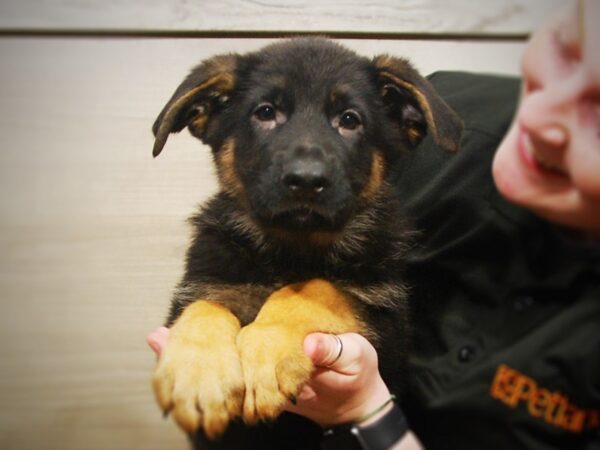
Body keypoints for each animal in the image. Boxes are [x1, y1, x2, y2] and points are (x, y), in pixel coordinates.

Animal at [152, 37, 462, 448]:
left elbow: (317, 289)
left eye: (349, 120)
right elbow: (205, 306)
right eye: (265, 112)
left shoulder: (387, 325)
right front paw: (198, 373)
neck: (291, 250)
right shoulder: (203, 285)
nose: (305, 180)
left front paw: (266, 351)